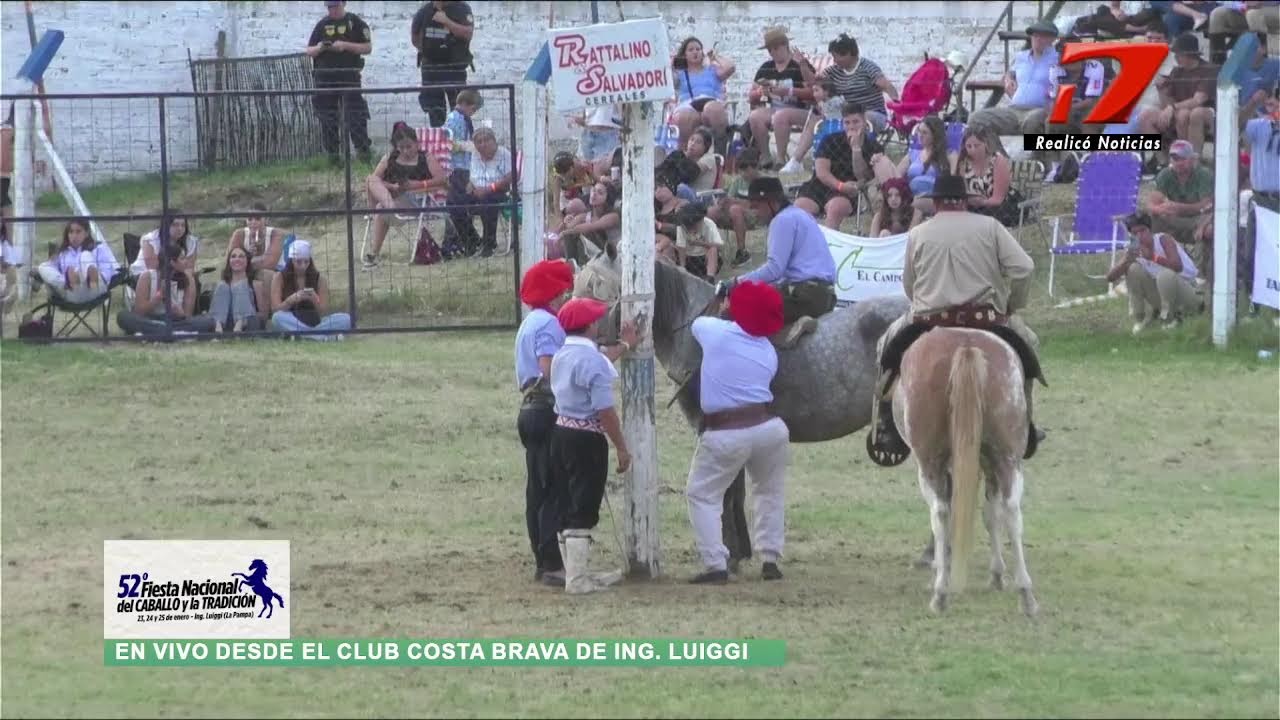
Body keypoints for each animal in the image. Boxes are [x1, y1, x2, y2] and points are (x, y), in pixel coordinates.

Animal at [895, 327, 1039, 617]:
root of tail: (966, 344)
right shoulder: (986, 463)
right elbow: (990, 514)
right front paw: (996, 575)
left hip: (930, 463)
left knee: (940, 513)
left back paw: (940, 594)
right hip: (1007, 457)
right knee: (1011, 510)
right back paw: (1026, 595)